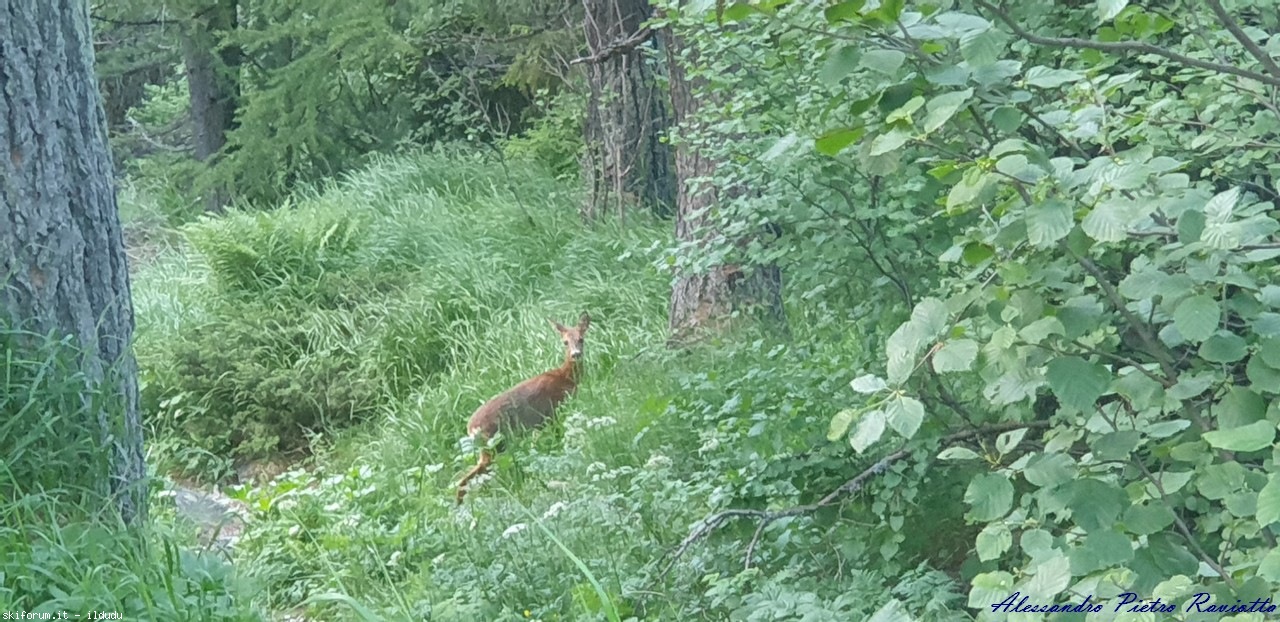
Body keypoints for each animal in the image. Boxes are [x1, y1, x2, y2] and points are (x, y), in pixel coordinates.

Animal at [458, 313, 591, 501]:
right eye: (565, 342)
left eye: (581, 339)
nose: (576, 354)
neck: (564, 377)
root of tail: (470, 428)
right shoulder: (553, 412)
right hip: (492, 444)